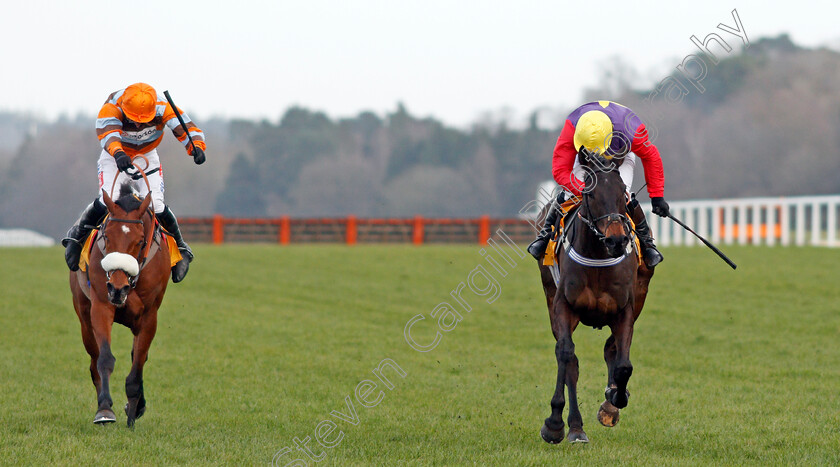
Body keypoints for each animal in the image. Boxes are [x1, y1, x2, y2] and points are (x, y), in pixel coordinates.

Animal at [69, 186, 171, 428]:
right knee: (94, 360)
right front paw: (105, 410)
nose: (117, 288)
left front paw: (132, 414)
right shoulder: (101, 306)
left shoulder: (149, 317)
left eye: (140, 241)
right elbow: (105, 359)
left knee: (138, 357)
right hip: (84, 317)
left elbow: (138, 365)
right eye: (107, 236)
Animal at [540, 152, 656, 444]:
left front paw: (615, 399)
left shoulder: (625, 309)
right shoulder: (563, 305)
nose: (617, 240)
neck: (598, 254)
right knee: (569, 359)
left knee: (611, 349)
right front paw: (555, 424)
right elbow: (566, 354)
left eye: (622, 192)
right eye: (590, 194)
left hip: (640, 296)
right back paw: (574, 427)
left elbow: (623, 364)